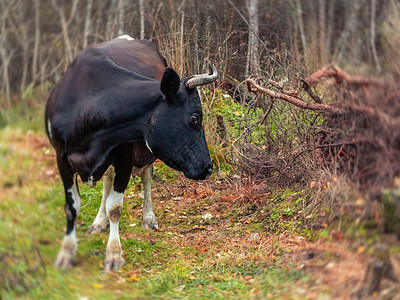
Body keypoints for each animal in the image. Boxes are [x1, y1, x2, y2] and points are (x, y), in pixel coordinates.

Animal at [45, 35, 217, 272]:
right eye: (194, 118)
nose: (208, 167)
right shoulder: (61, 156)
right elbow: (72, 207)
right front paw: (67, 252)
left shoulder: (125, 156)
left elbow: (115, 207)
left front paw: (113, 255)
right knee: (107, 183)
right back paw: (99, 222)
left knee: (146, 178)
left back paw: (148, 218)